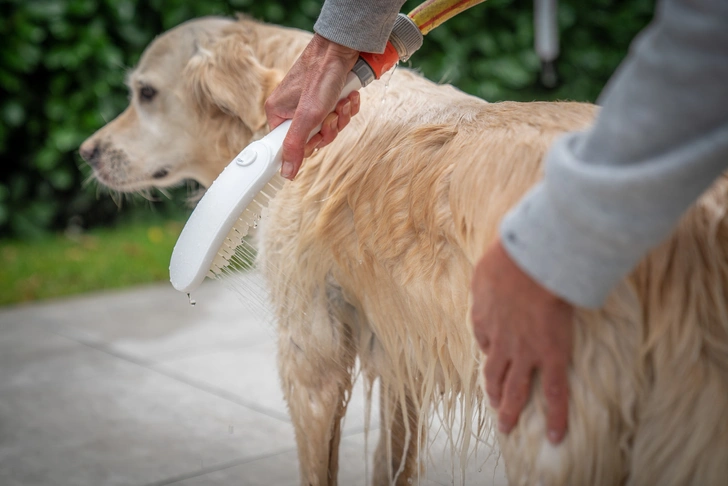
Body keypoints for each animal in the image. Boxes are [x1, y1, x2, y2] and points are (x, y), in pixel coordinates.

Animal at [81, 15, 728, 486]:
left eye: (145, 93)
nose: (84, 152)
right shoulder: (402, 353)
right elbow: (392, 461)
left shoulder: (309, 351)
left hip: (548, 416)